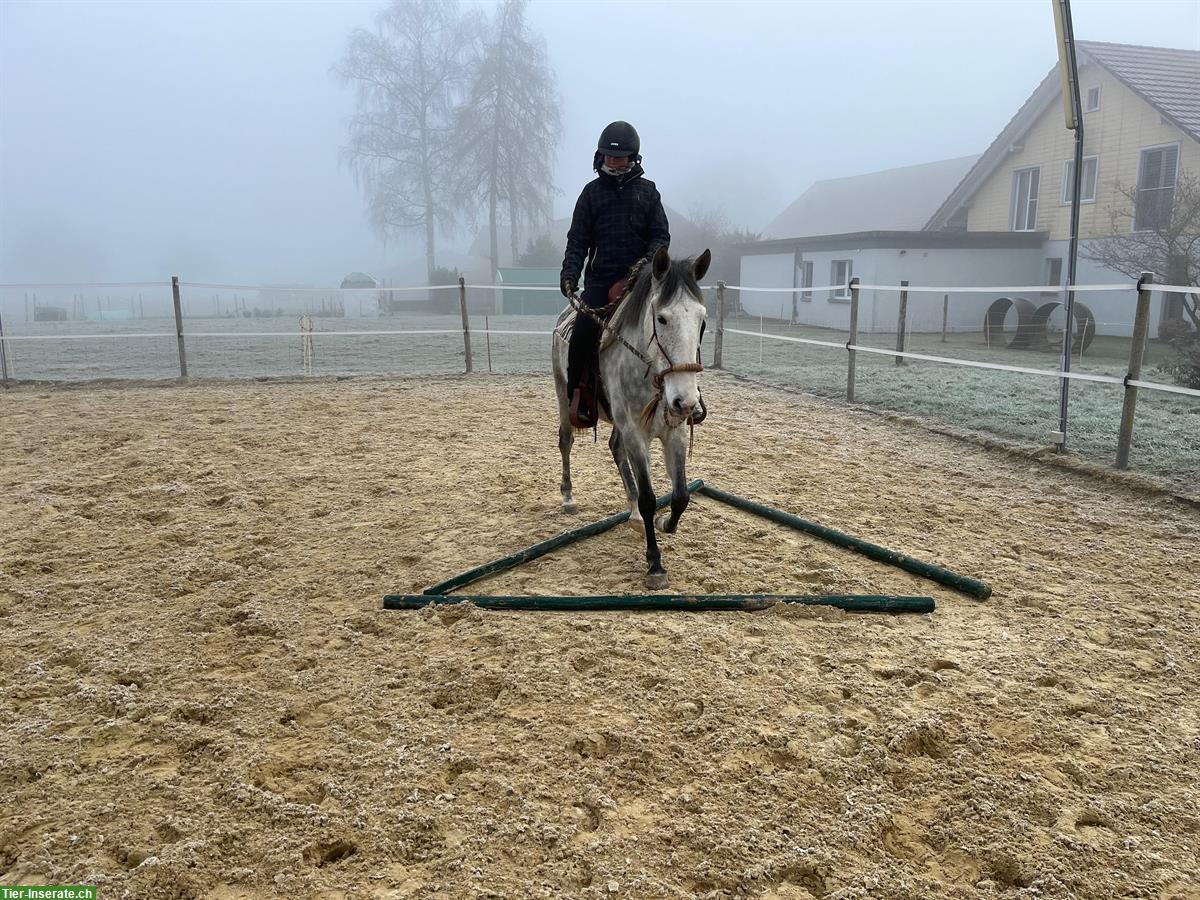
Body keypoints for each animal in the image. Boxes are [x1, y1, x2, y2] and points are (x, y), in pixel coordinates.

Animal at [554, 244, 710, 592]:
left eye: (702, 321)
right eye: (662, 318)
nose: (685, 401)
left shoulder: (674, 433)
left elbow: (680, 496)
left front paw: (665, 523)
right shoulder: (636, 433)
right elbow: (651, 498)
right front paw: (655, 565)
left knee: (614, 448)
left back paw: (634, 513)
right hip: (563, 398)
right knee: (566, 441)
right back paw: (568, 496)